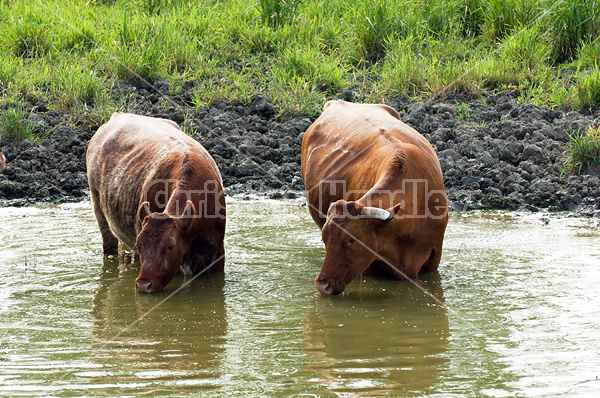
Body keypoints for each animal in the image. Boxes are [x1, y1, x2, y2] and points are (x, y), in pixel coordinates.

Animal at [85, 111, 224, 292]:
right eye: (140, 244)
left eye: (170, 246)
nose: (143, 285)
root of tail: (118, 114)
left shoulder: (217, 256)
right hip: (98, 207)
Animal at [302, 100, 448, 296]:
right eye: (324, 238)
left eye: (352, 239)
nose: (322, 285)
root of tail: (337, 102)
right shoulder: (368, 267)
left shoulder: (433, 259)